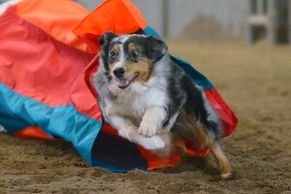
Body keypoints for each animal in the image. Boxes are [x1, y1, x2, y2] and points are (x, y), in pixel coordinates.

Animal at [93, 32, 233, 179]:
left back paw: (226, 170)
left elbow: (153, 110)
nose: (118, 71)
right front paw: (157, 142)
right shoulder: (111, 111)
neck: (133, 89)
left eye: (135, 53)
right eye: (112, 54)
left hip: (194, 112)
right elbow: (128, 130)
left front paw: (147, 128)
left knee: (210, 138)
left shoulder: (164, 102)